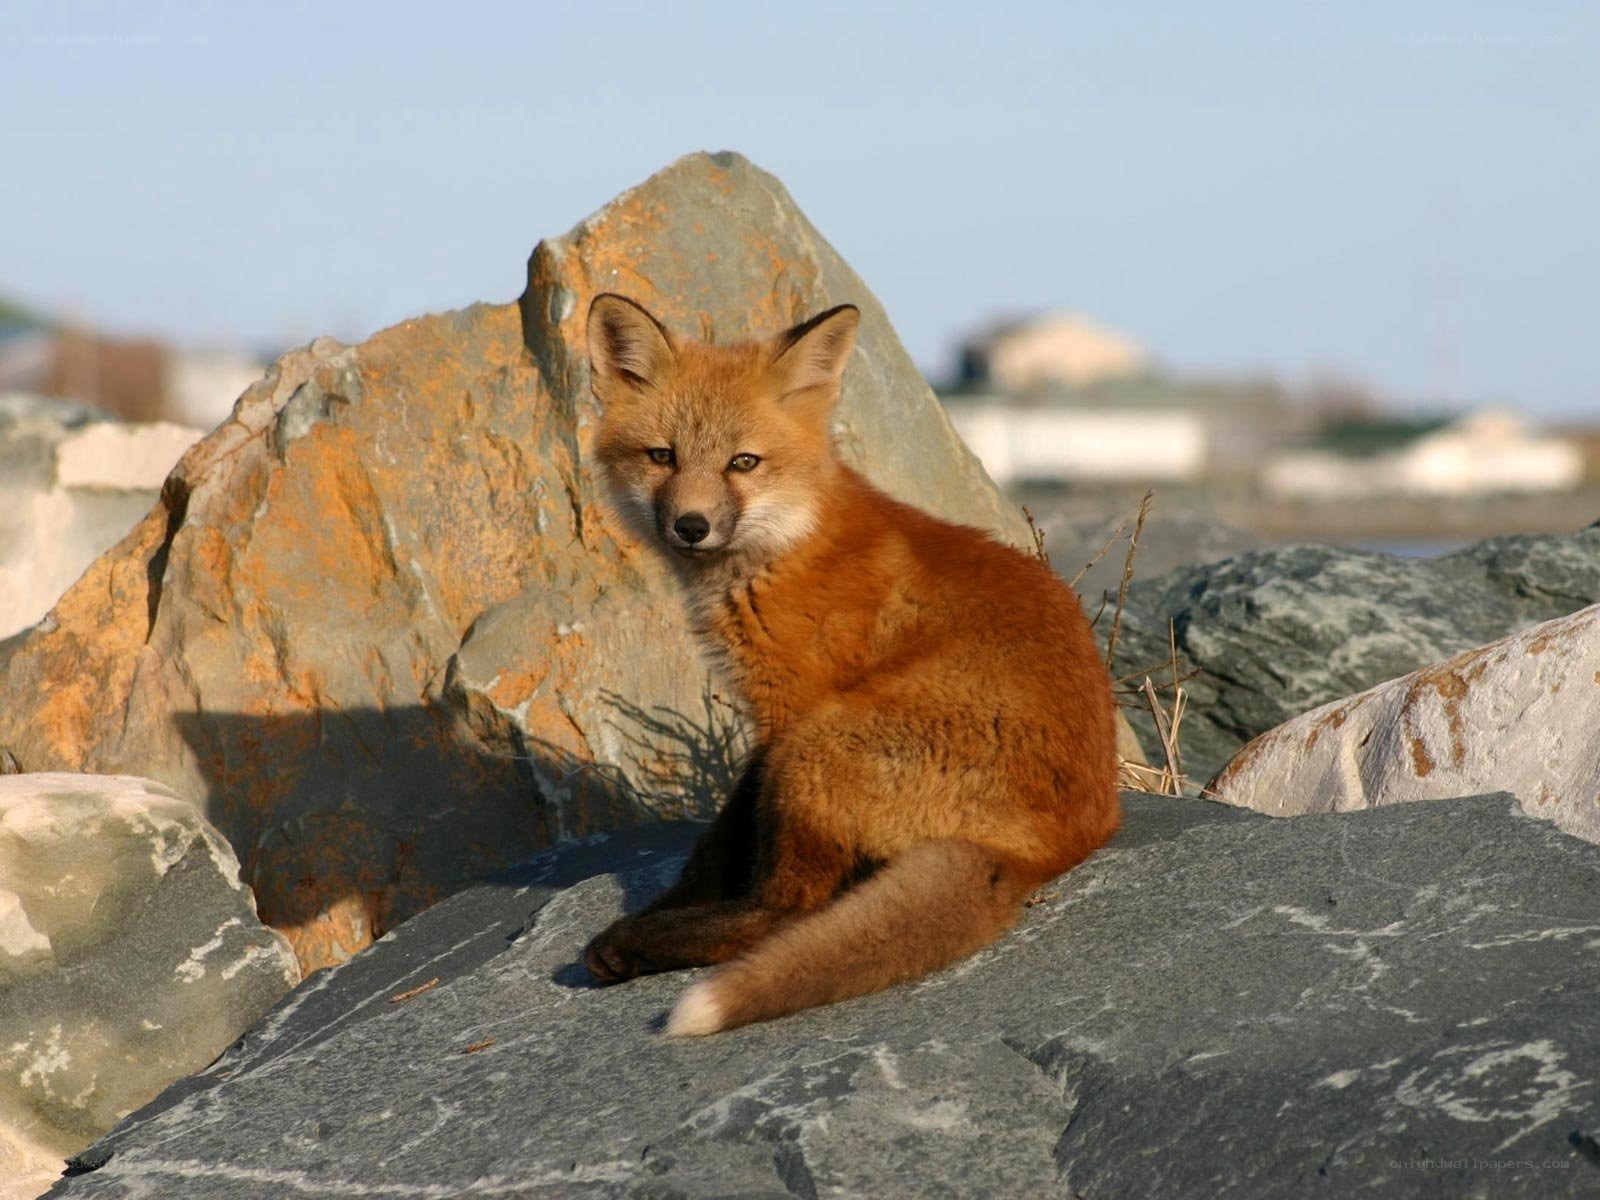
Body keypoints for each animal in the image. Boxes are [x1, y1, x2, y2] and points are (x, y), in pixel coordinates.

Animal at [581, 293, 1120, 1036]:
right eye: (662, 456)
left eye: (743, 462)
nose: (690, 526)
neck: (789, 542)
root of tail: (1046, 851)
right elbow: (712, 850)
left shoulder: (785, 714)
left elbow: (723, 840)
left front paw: (652, 918)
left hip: (814, 752)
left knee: (787, 911)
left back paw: (639, 946)